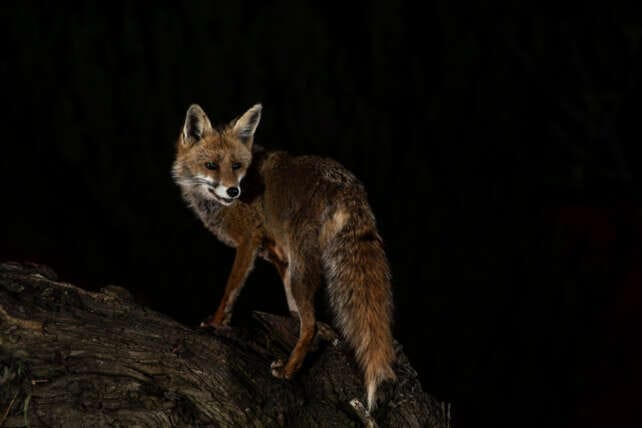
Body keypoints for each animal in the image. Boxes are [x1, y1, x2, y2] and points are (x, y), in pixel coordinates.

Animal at [172, 103, 396, 411]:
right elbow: (292, 307)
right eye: (211, 166)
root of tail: (347, 186)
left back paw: (289, 371)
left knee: (309, 325)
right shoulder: (278, 255)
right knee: (308, 317)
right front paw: (316, 328)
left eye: (236, 166)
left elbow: (231, 289)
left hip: (303, 266)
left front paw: (216, 323)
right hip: (302, 264)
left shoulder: (248, 242)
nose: (233, 190)